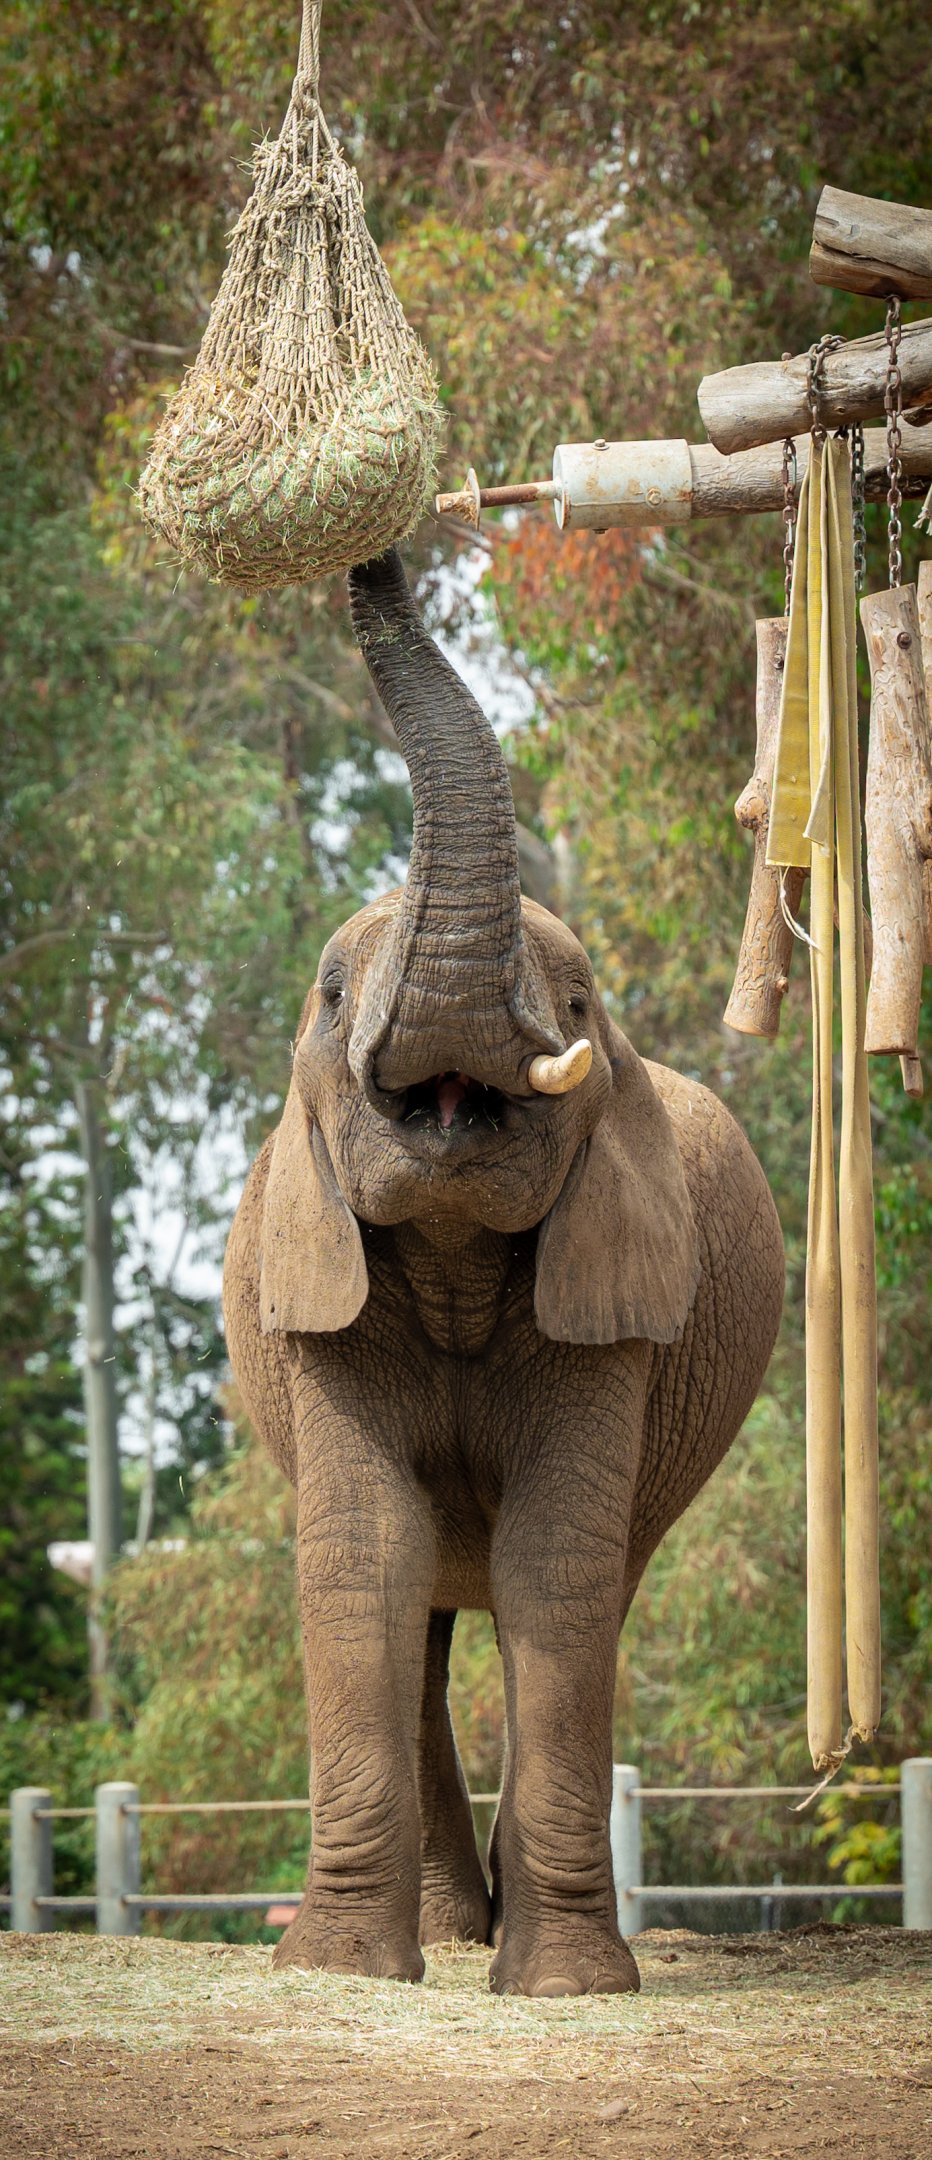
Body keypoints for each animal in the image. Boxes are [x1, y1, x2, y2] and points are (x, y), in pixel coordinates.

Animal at [223, 547, 784, 1998]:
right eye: (325, 994)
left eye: (580, 1008)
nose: (382, 553)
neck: (456, 1253)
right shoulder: (324, 1309)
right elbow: (366, 1552)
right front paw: (342, 1978)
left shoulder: (615, 1314)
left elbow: (555, 1564)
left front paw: (570, 1989)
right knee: (425, 1604)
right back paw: (438, 1933)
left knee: (590, 1583)